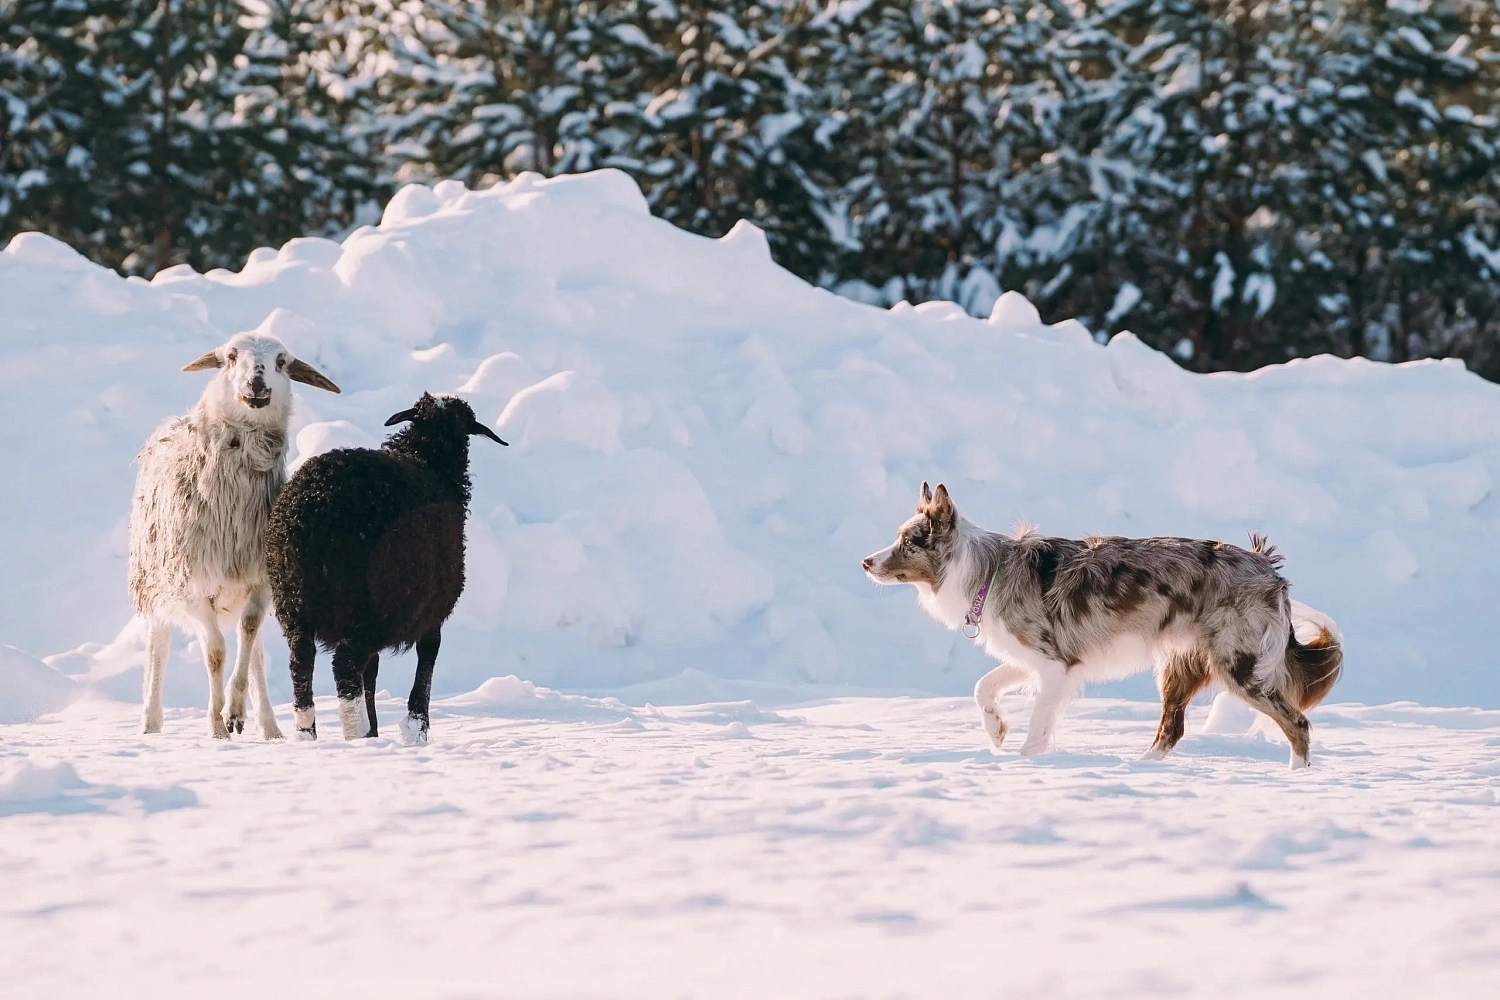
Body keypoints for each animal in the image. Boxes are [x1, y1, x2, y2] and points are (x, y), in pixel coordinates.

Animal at [128, 332, 340, 740]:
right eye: (229, 357)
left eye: (281, 361)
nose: (256, 383)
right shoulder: (193, 587)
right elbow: (216, 653)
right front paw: (217, 728)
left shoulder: (260, 581)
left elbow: (248, 633)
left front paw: (235, 712)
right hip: (156, 583)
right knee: (158, 648)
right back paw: (150, 723)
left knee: (254, 651)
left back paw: (269, 727)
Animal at [267, 392, 507, 743]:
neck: (430, 459)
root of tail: (310, 510)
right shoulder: (433, 610)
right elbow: (426, 661)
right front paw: (417, 728)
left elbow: (373, 672)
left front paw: (379, 729)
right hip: (364, 603)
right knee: (345, 667)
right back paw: (356, 735)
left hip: (294, 603)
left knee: (302, 665)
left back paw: (307, 734)